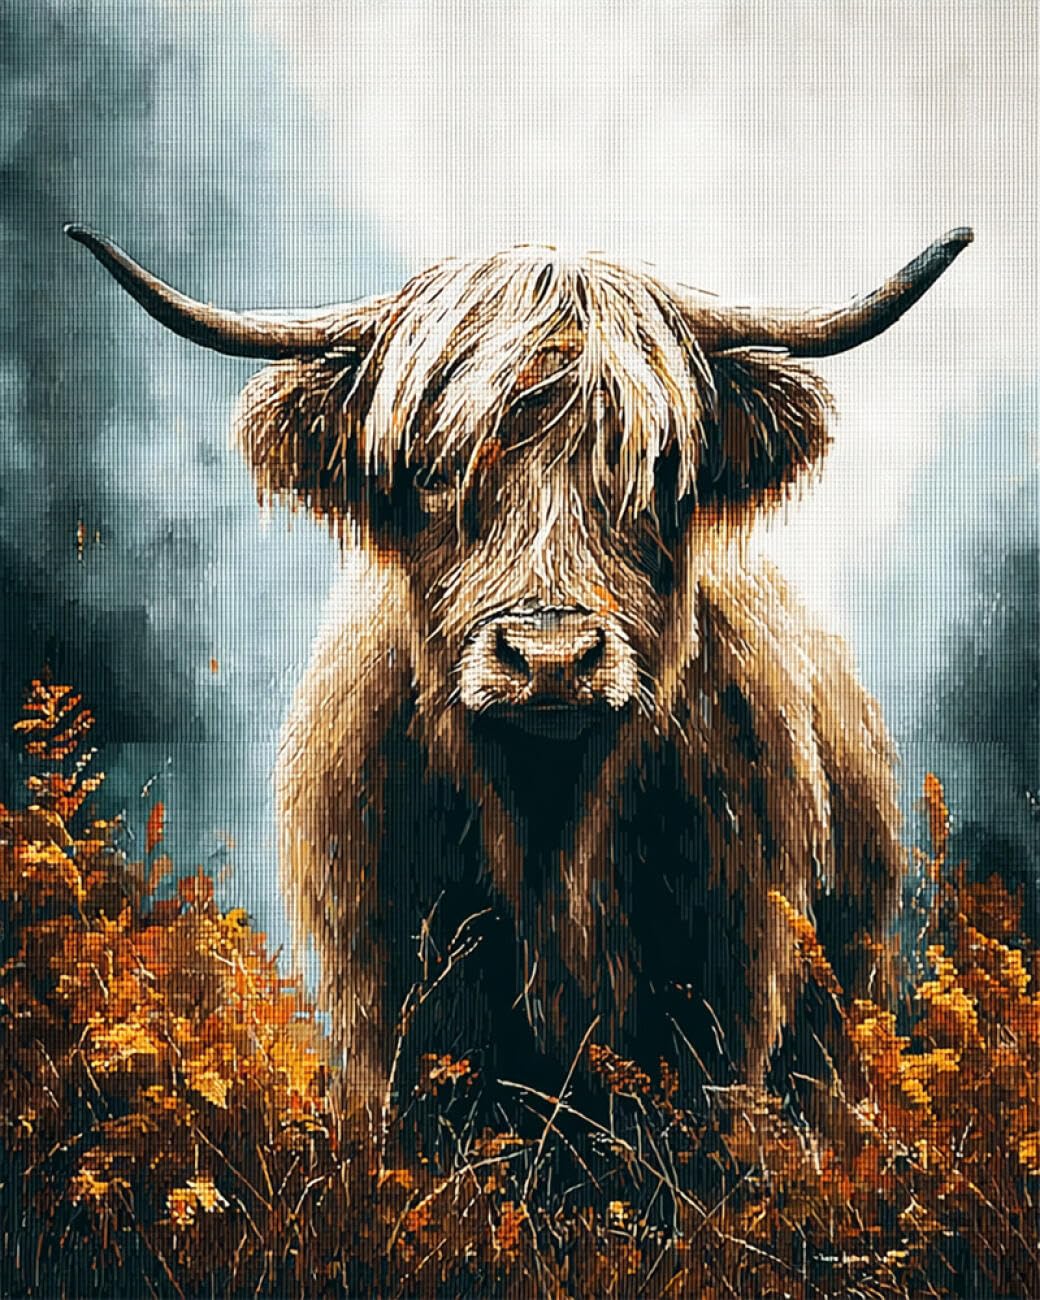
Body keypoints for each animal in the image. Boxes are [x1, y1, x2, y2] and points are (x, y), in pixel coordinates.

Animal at [69, 224, 972, 1131]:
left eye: (655, 472)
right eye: (434, 472)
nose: (551, 660)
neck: (549, 828)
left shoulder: (727, 1010)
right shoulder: (396, 1020)